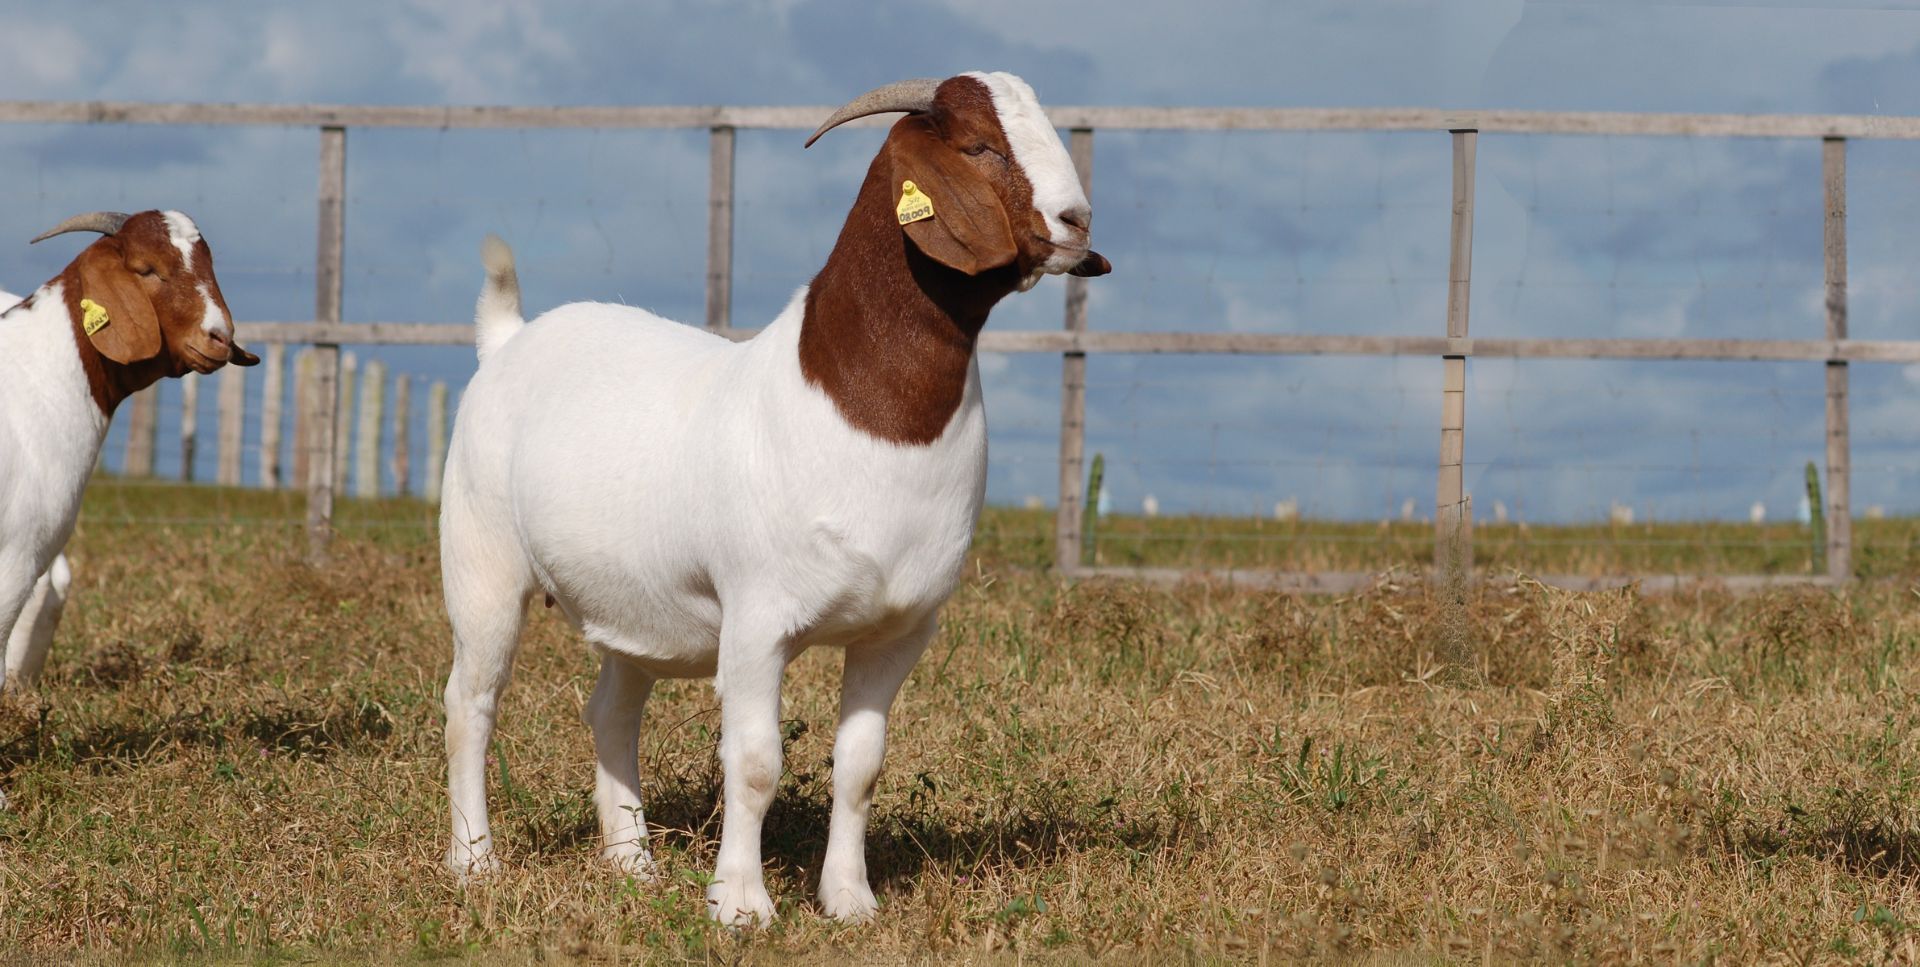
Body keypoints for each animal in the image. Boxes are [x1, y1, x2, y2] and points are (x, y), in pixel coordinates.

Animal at [440, 72, 1109, 924]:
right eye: (978, 144)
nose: (1077, 221)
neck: (852, 404)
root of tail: (507, 339)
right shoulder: (757, 620)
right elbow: (755, 760)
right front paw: (741, 904)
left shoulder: (900, 629)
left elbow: (861, 763)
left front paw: (849, 898)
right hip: (482, 562)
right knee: (471, 702)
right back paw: (475, 863)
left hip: (631, 600)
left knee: (612, 710)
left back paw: (633, 864)